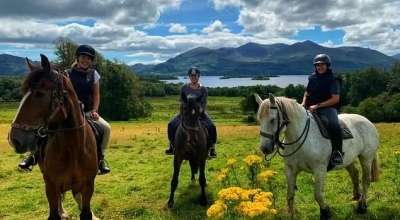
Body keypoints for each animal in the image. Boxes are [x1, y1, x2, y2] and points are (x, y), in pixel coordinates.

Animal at [7, 53, 100, 220]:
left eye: (39, 94)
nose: (14, 140)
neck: (73, 147)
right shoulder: (51, 185)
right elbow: (55, 209)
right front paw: (61, 213)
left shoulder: (88, 185)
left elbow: (85, 211)